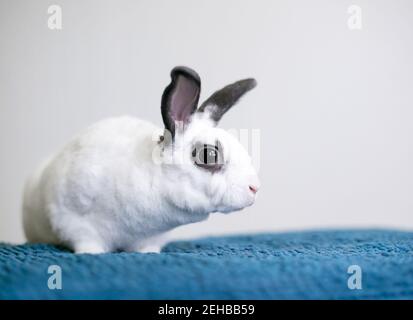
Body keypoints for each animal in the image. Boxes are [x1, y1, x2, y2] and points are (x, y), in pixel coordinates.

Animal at [22, 66, 260, 254]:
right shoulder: (73, 220)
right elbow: (87, 242)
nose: (255, 188)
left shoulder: (151, 237)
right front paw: (92, 254)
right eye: (208, 155)